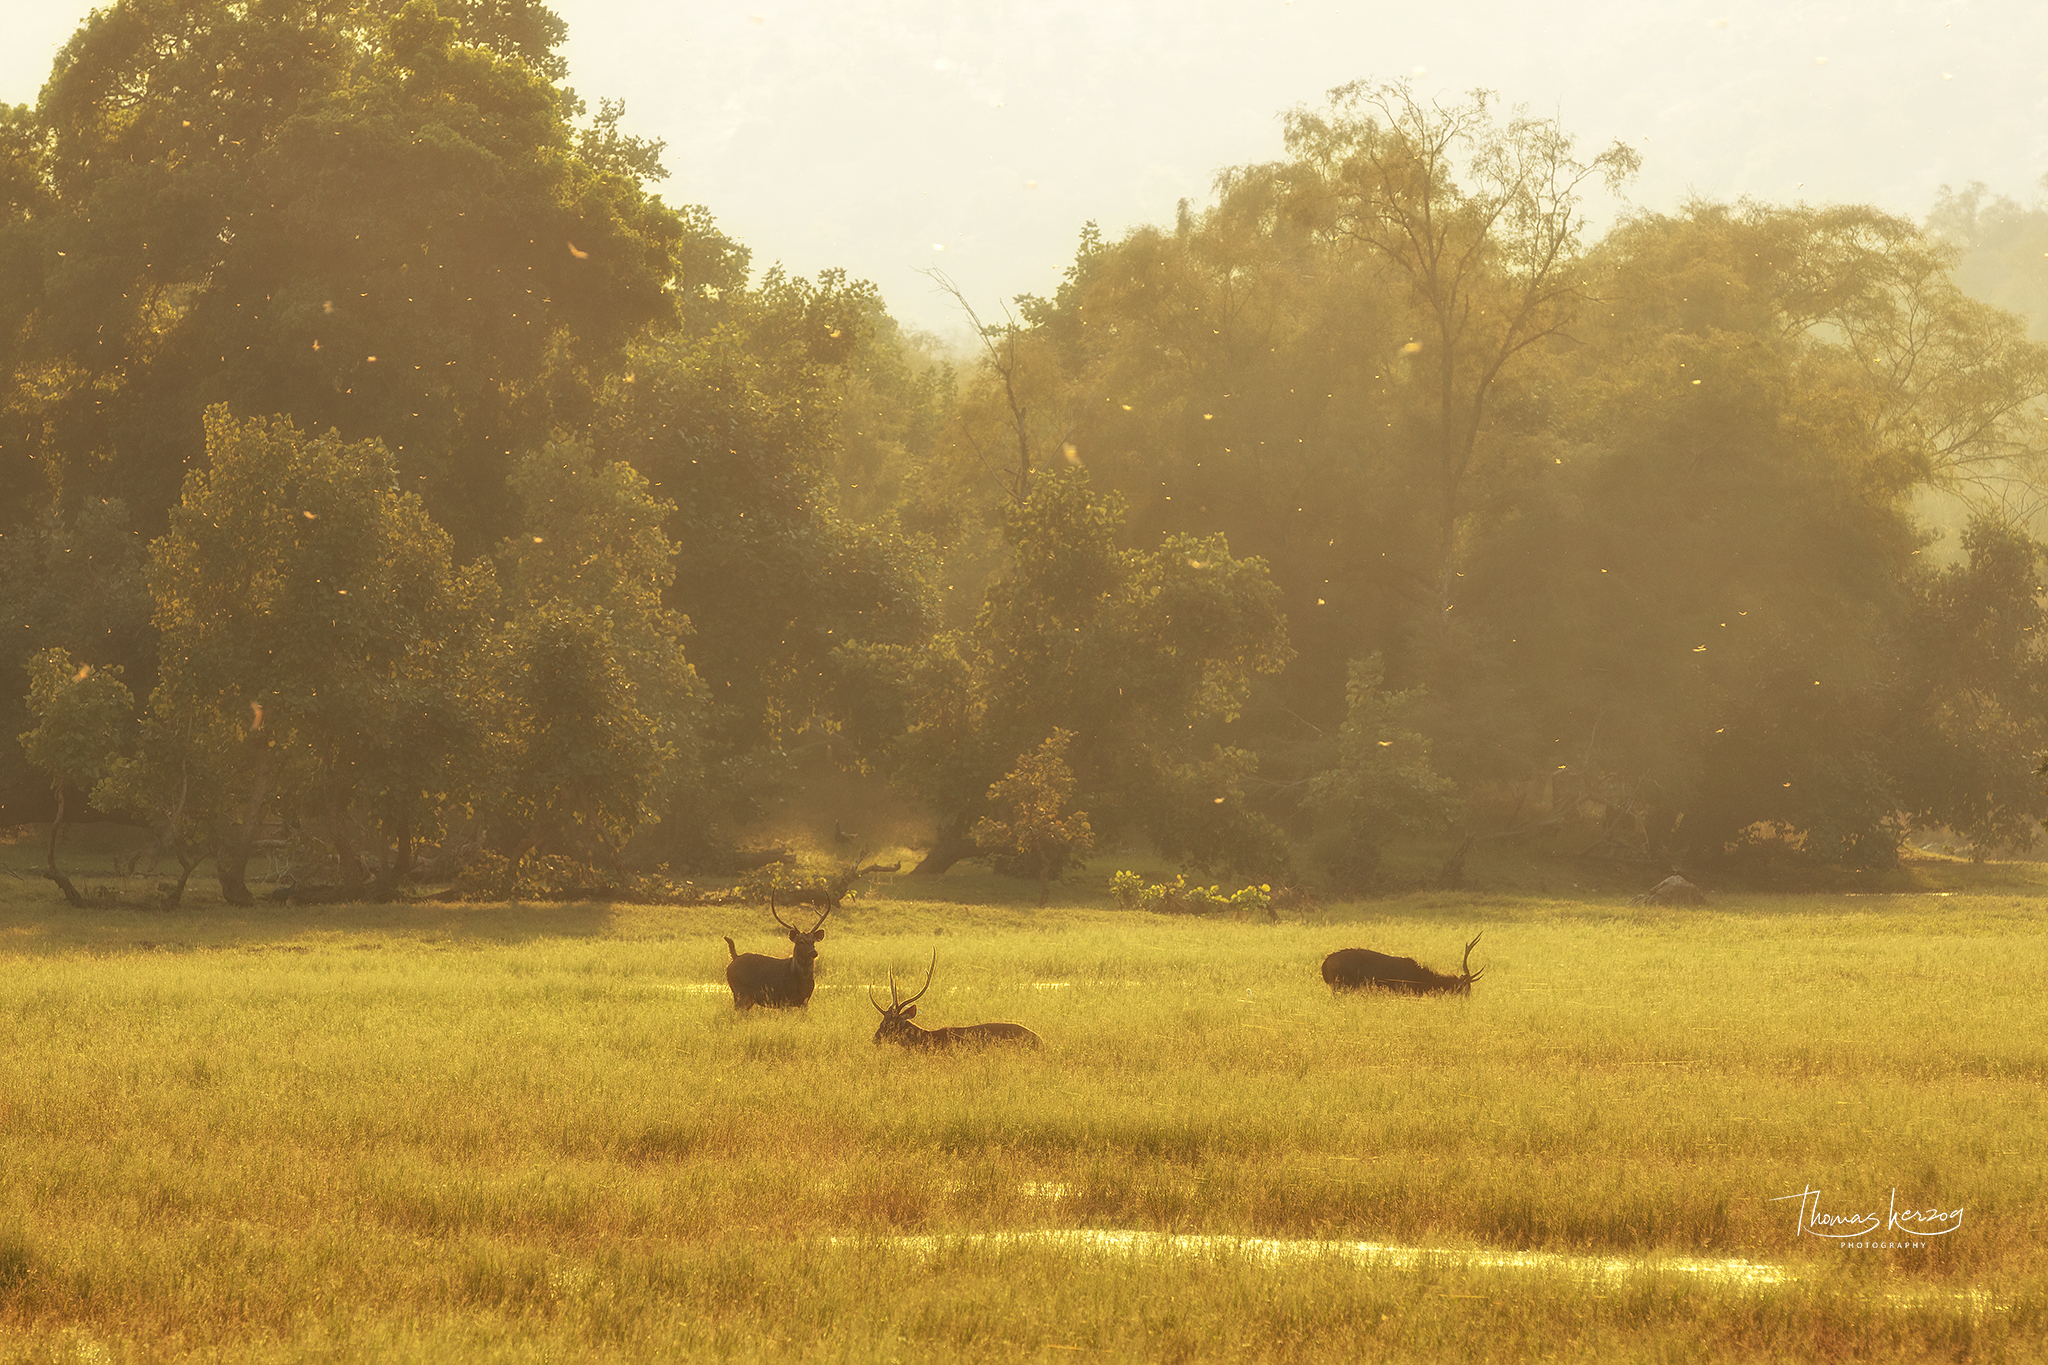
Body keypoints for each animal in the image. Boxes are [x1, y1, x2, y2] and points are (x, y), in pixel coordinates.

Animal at [1318, 933, 1482, 998]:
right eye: (1464, 989)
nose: (1469, 999)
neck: (1420, 980)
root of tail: (1325, 963)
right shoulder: (1402, 989)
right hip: (1340, 984)